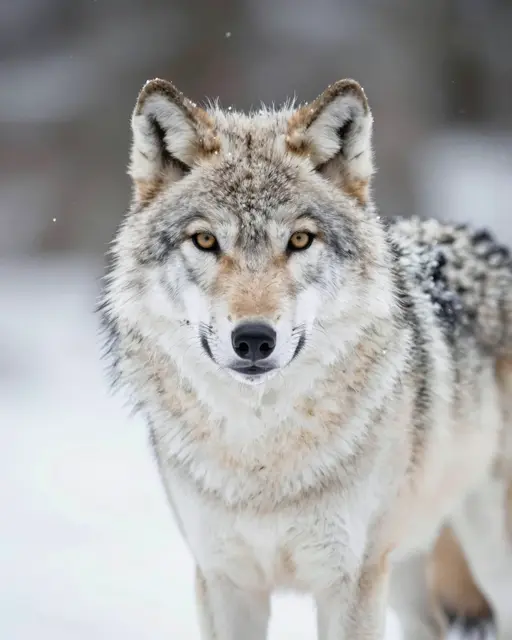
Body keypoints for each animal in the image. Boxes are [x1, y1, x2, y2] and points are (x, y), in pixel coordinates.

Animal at [99, 76, 512, 639]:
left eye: (299, 239)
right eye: (205, 240)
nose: (254, 339)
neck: (261, 457)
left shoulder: (350, 580)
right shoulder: (224, 581)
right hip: (402, 565)